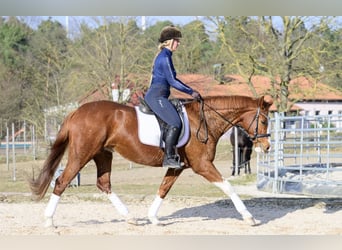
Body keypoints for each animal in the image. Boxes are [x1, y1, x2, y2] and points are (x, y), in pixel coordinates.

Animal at [30, 94, 274, 228]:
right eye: (263, 120)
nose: (267, 147)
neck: (204, 119)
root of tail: (76, 112)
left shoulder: (178, 167)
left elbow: (163, 189)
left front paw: (153, 218)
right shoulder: (202, 165)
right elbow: (229, 187)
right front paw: (249, 217)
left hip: (103, 154)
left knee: (104, 183)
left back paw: (131, 218)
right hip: (82, 154)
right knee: (62, 181)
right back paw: (48, 220)